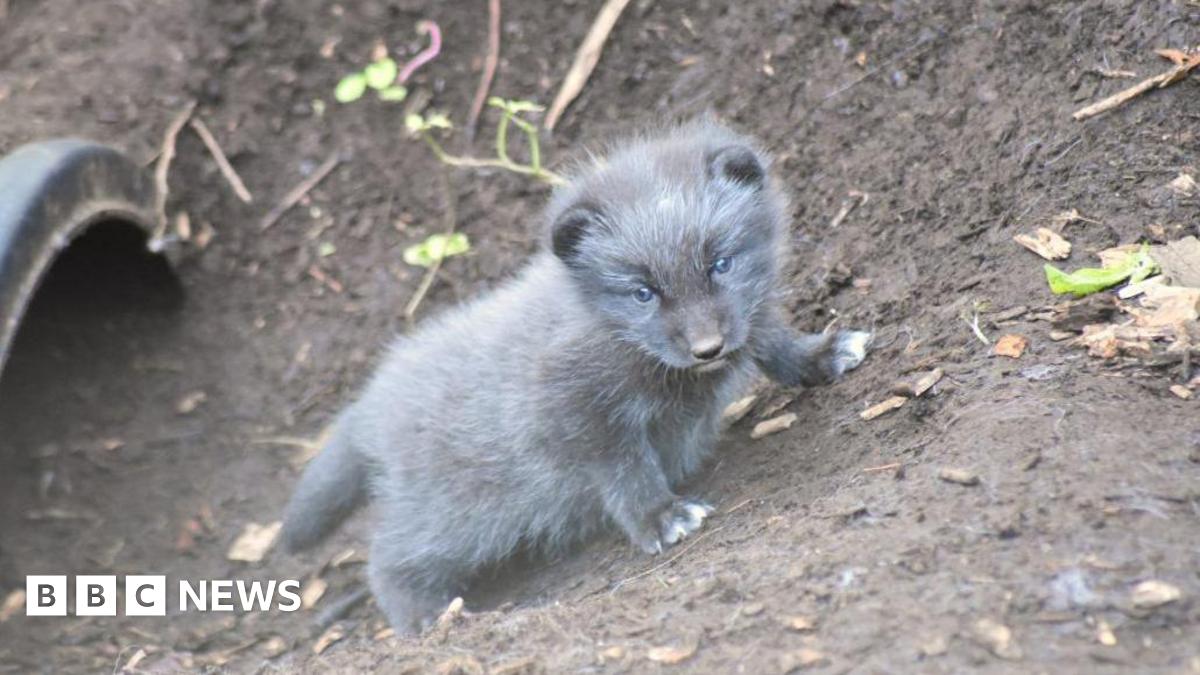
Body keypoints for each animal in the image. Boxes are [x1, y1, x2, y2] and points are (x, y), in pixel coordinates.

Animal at [280, 120, 871, 634]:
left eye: (720, 264)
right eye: (642, 292)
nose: (708, 349)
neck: (615, 334)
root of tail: (370, 404)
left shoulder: (750, 317)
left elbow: (773, 343)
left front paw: (823, 355)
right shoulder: (579, 416)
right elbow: (628, 471)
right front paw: (661, 517)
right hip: (455, 516)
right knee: (386, 558)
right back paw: (427, 620)